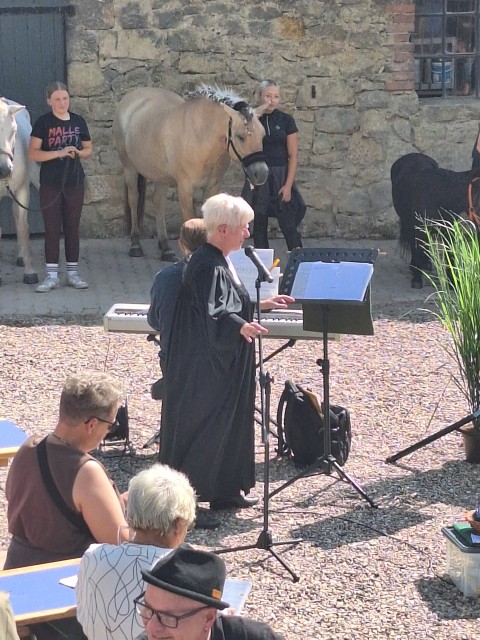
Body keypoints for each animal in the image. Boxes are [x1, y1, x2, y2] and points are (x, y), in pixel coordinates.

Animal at [114, 85, 268, 260]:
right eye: (240, 136)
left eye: (262, 135)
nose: (261, 173)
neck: (200, 136)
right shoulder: (185, 188)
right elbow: (190, 219)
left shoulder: (213, 186)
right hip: (129, 168)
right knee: (134, 199)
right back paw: (135, 244)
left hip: (162, 177)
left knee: (158, 202)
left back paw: (165, 247)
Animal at [390, 152, 476, 288]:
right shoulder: (419, 226)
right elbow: (417, 248)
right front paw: (417, 280)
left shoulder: (449, 228)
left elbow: (450, 254)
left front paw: (453, 283)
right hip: (410, 223)